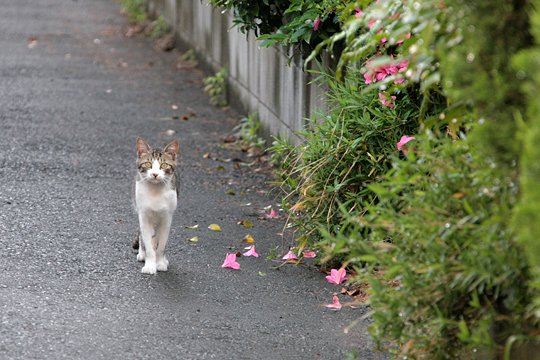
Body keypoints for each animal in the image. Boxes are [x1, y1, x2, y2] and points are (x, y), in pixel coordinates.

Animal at [134, 137, 179, 272]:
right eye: (148, 164)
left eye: (164, 165)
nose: (155, 174)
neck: (155, 191)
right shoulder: (143, 215)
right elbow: (148, 242)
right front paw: (149, 265)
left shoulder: (167, 218)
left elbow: (162, 243)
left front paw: (160, 263)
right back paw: (142, 253)